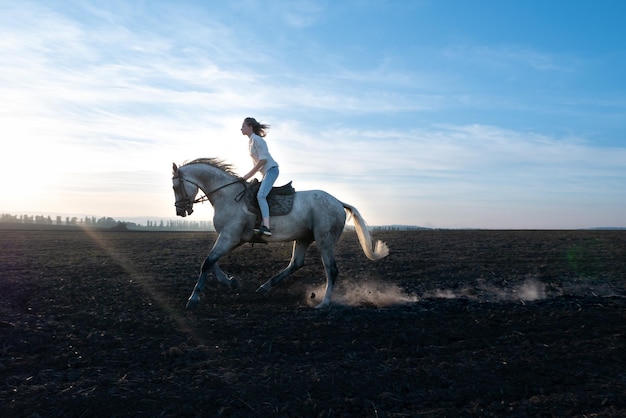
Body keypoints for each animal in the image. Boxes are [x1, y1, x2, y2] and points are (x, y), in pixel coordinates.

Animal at [171, 158, 386, 308]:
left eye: (174, 186)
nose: (180, 211)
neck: (228, 196)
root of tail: (339, 202)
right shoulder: (234, 238)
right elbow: (212, 261)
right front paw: (231, 282)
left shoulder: (229, 236)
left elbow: (207, 262)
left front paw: (193, 298)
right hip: (303, 238)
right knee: (296, 263)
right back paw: (265, 286)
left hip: (324, 240)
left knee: (331, 269)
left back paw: (324, 303)